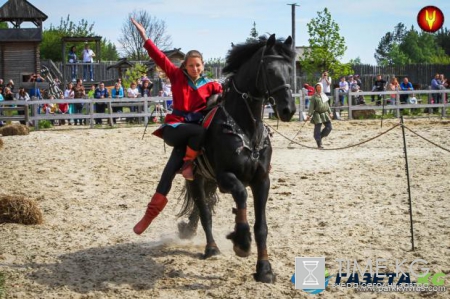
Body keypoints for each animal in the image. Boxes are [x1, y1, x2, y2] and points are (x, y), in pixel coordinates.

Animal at [178, 34, 298, 284]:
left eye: (290, 70)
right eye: (270, 70)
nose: (288, 109)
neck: (246, 130)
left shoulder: (262, 180)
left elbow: (261, 227)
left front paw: (264, 269)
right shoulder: (226, 177)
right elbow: (241, 195)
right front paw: (242, 242)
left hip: (210, 181)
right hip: (196, 179)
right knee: (204, 211)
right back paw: (211, 248)